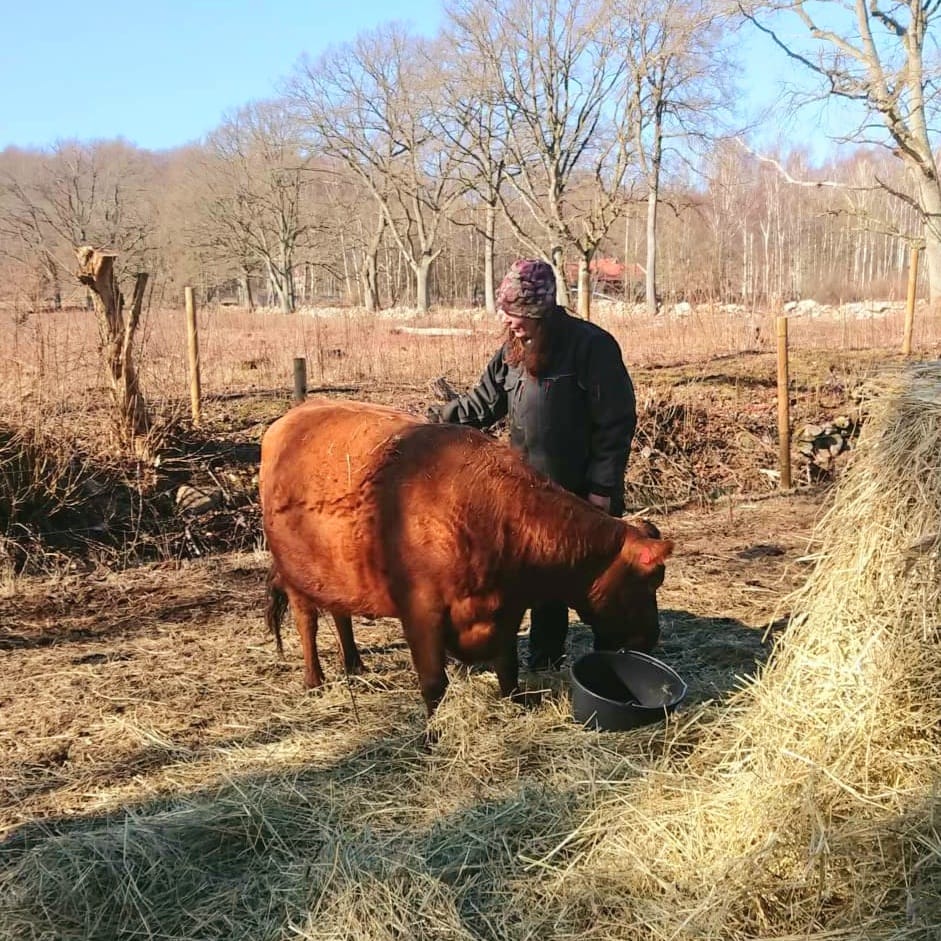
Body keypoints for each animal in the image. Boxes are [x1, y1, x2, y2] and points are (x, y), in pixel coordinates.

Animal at [258, 396, 668, 720]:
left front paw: (515, 703)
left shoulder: (507, 608)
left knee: (341, 614)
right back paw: (314, 679)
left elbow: (507, 664)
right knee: (307, 621)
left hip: (333, 570)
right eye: (647, 582)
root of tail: (291, 416)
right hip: (295, 574)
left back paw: (354, 664)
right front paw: (434, 730)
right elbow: (433, 681)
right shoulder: (421, 610)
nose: (652, 638)